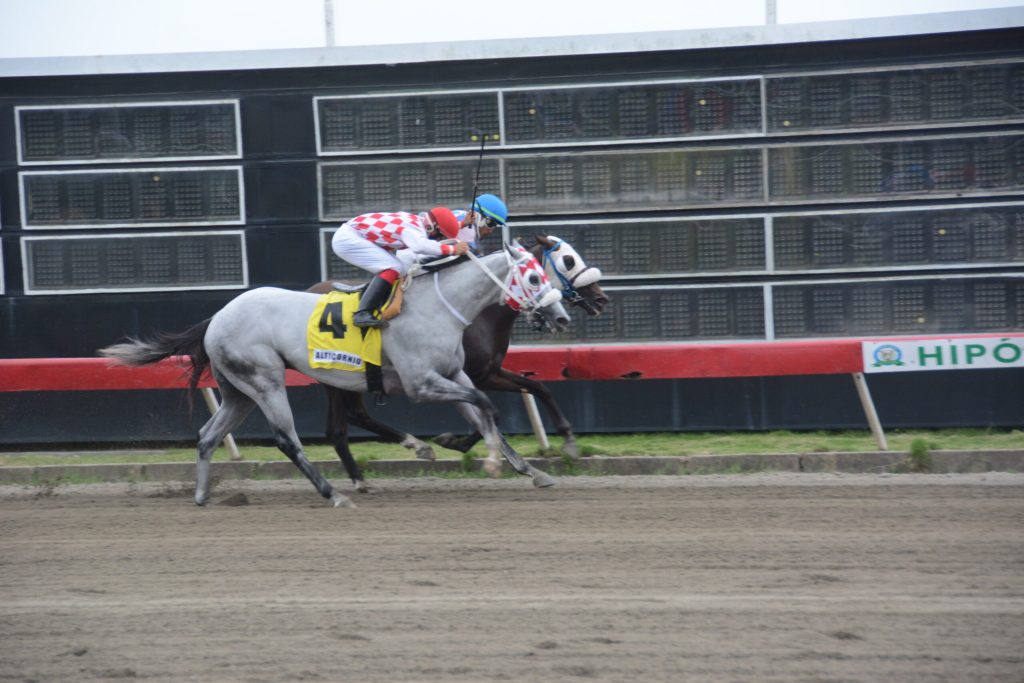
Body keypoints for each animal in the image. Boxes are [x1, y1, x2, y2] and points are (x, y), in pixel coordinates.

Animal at [99, 244, 571, 508]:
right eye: (534, 276)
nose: (563, 317)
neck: (440, 305)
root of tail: (216, 317)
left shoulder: (457, 374)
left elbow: (484, 415)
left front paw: (531, 470)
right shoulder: (422, 384)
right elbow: (487, 407)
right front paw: (481, 457)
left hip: (239, 391)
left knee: (207, 436)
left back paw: (202, 496)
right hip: (266, 381)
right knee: (287, 439)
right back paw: (334, 492)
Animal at [309, 234, 608, 492]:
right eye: (568, 260)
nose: (601, 297)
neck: (479, 312)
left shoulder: (489, 371)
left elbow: (536, 388)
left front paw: (566, 441)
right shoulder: (473, 375)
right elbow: (487, 414)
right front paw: (455, 442)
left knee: (341, 426)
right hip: (339, 376)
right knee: (347, 421)